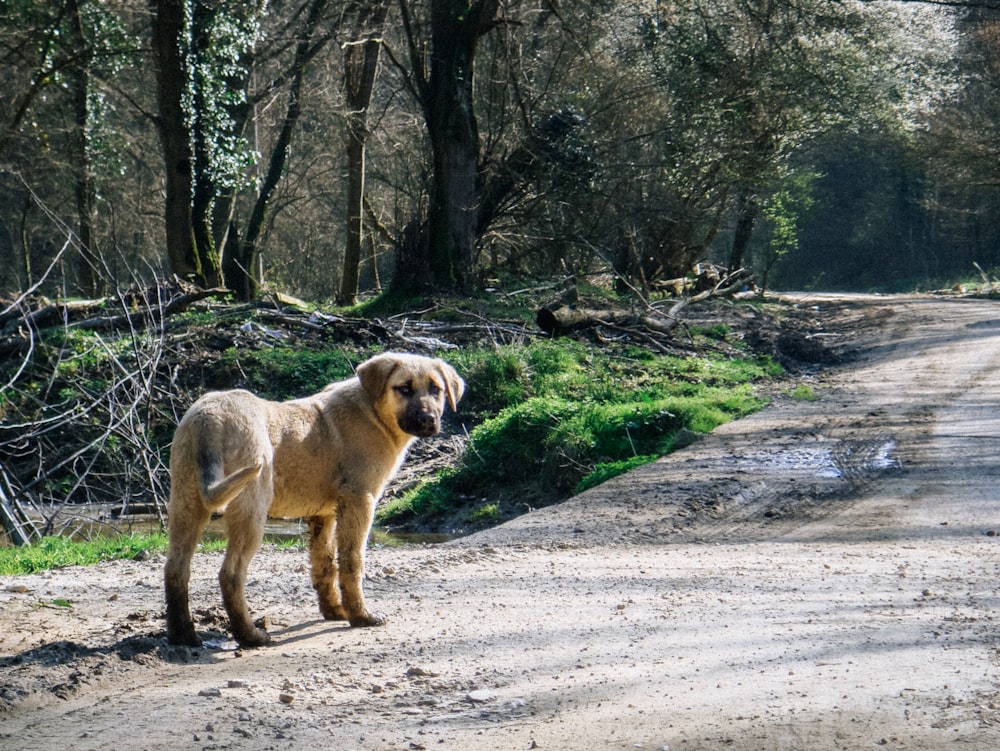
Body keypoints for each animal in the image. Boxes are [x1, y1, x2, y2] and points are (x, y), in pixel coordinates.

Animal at [164, 350, 464, 648]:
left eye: (436, 389)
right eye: (404, 388)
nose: (428, 420)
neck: (373, 411)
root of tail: (210, 416)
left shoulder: (324, 514)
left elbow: (325, 563)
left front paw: (334, 611)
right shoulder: (360, 500)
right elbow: (352, 562)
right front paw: (361, 616)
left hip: (186, 501)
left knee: (176, 569)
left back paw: (183, 635)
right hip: (251, 506)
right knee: (230, 573)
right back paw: (250, 635)